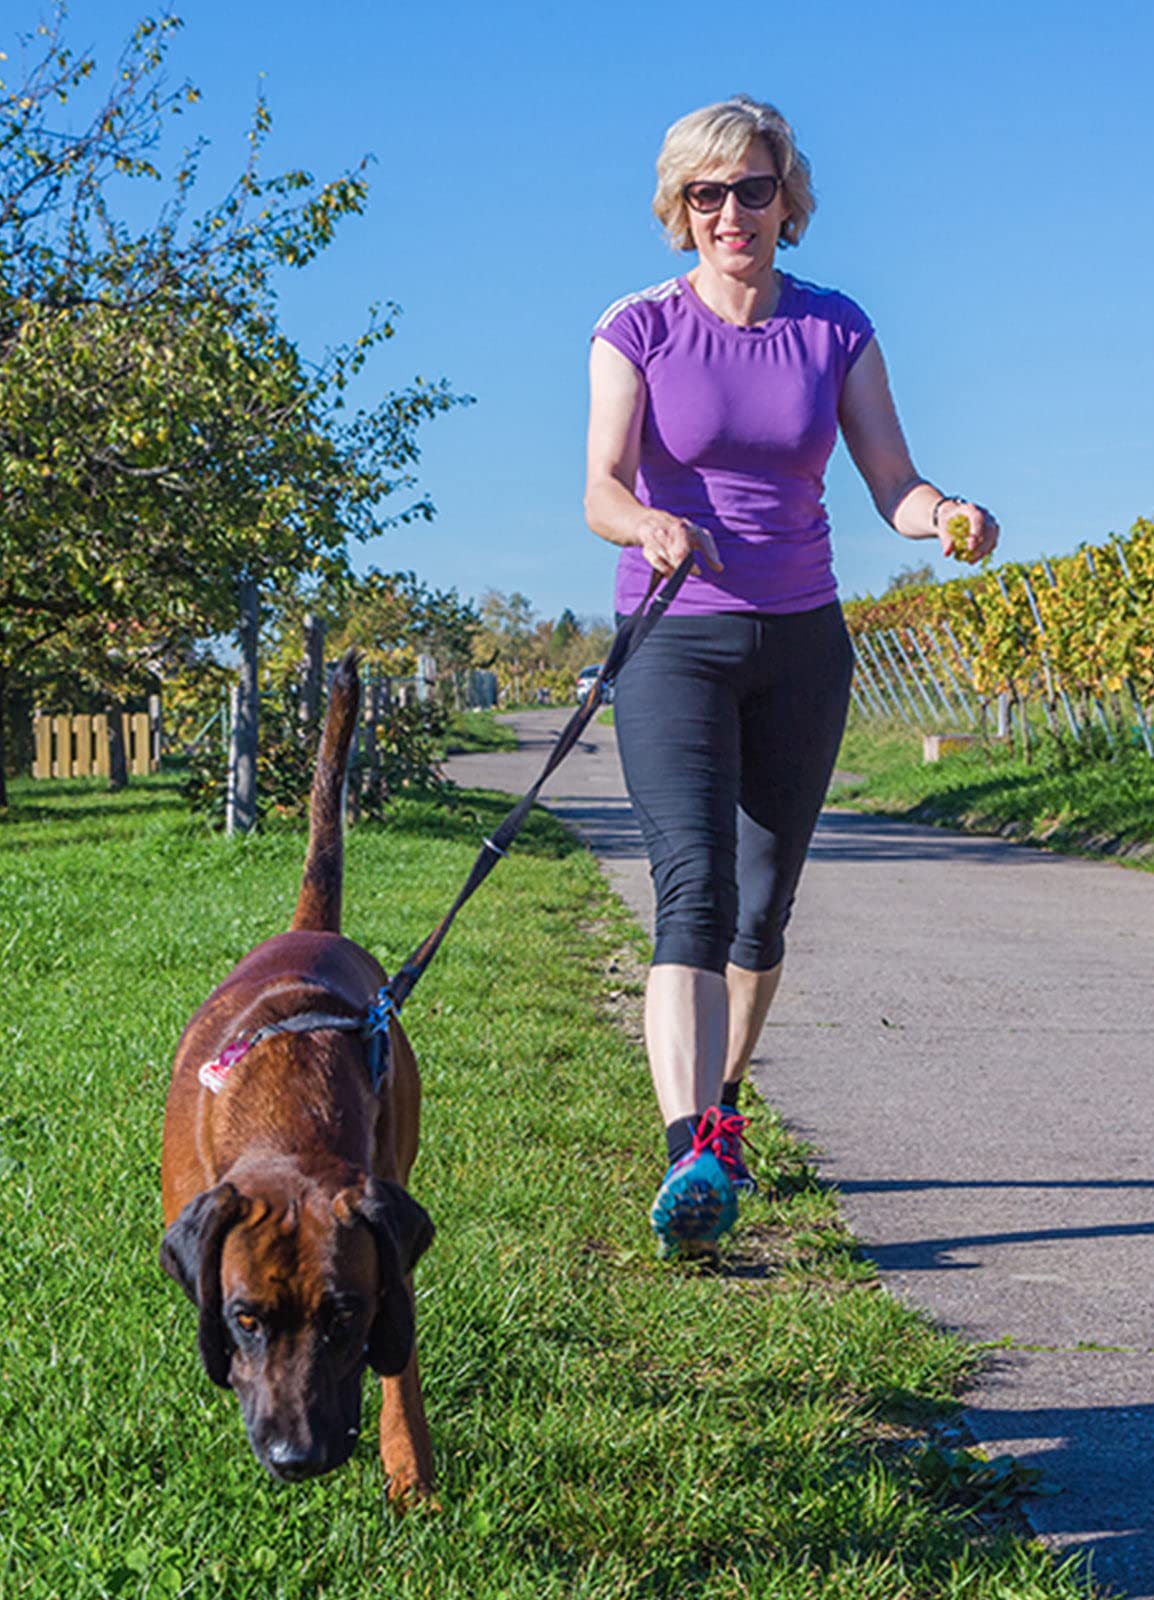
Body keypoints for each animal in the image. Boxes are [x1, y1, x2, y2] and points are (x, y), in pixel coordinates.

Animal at [157, 649, 435, 1497]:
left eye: (344, 1316)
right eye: (244, 1318)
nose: (296, 1458)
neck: (288, 1117)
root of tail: (308, 929)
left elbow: (400, 1360)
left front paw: (409, 1465)